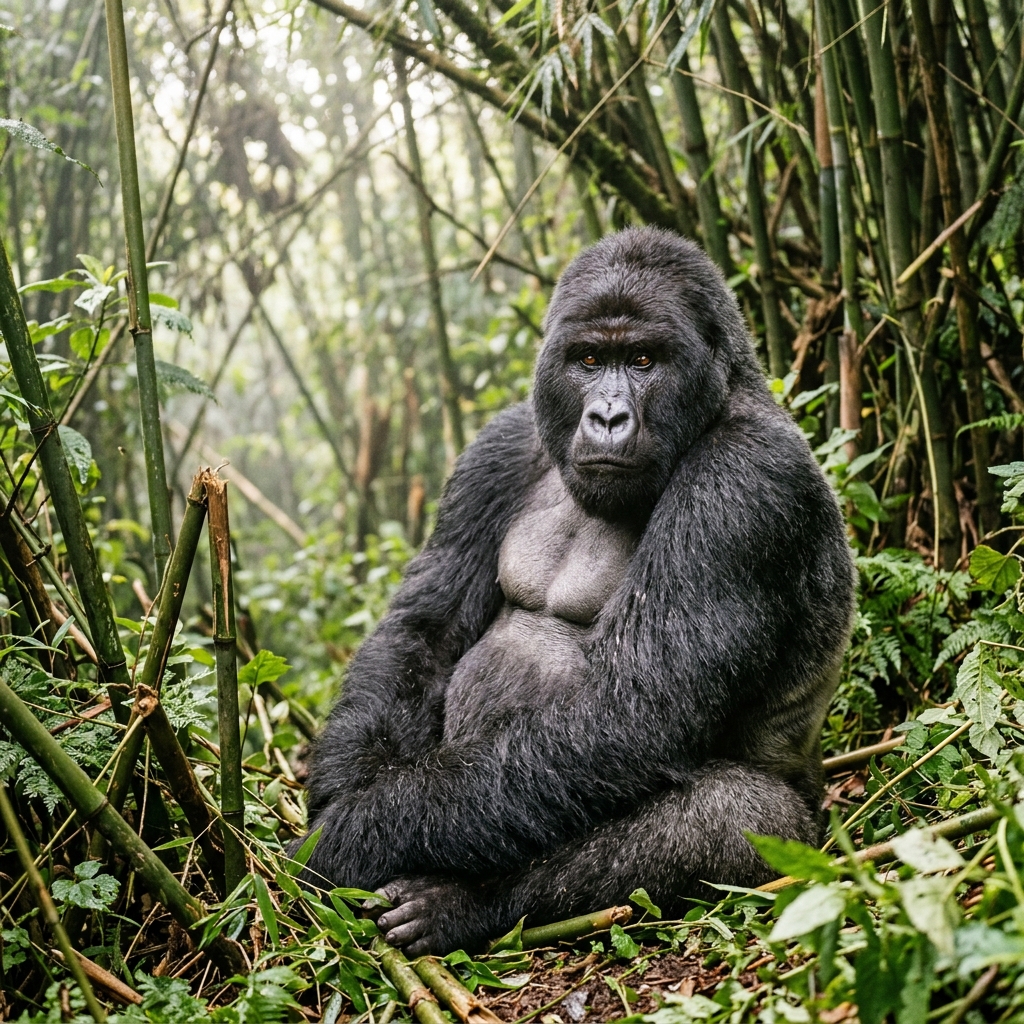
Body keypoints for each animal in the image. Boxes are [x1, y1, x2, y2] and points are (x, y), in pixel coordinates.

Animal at [299, 227, 856, 955]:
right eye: (589, 360)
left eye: (644, 360)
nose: (608, 416)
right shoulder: (499, 447)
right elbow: (426, 629)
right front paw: (340, 784)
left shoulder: (747, 479)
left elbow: (630, 710)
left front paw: (357, 832)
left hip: (805, 837)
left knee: (734, 816)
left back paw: (463, 904)